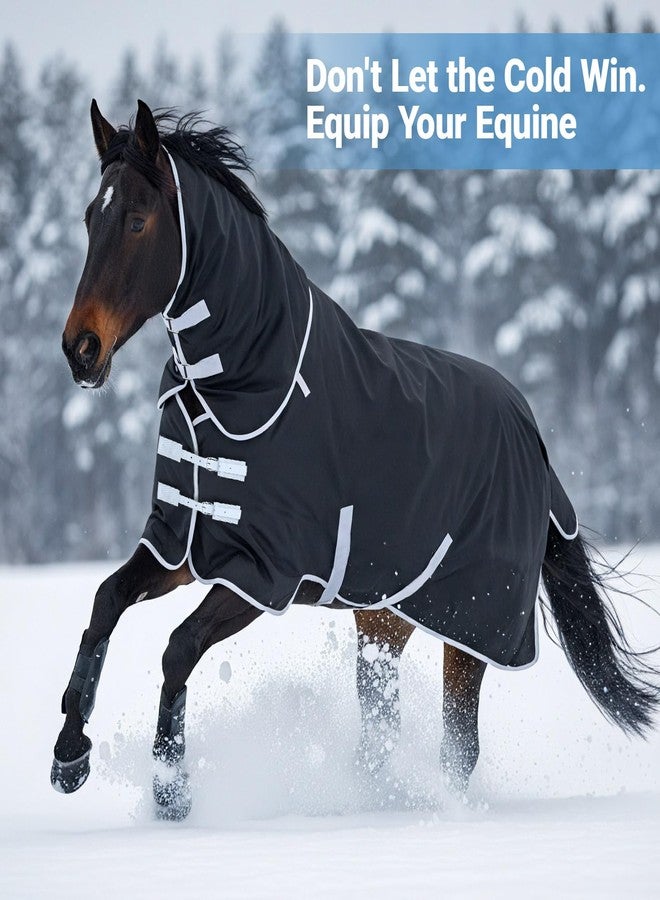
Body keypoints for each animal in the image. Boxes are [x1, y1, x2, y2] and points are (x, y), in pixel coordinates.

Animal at [52, 99, 659, 820]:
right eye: (90, 217)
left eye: (139, 220)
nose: (80, 350)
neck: (239, 383)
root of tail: (530, 429)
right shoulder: (185, 543)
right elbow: (105, 601)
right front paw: (69, 755)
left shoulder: (261, 573)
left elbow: (179, 649)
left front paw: (171, 788)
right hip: (383, 620)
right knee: (381, 734)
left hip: (470, 627)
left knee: (460, 748)